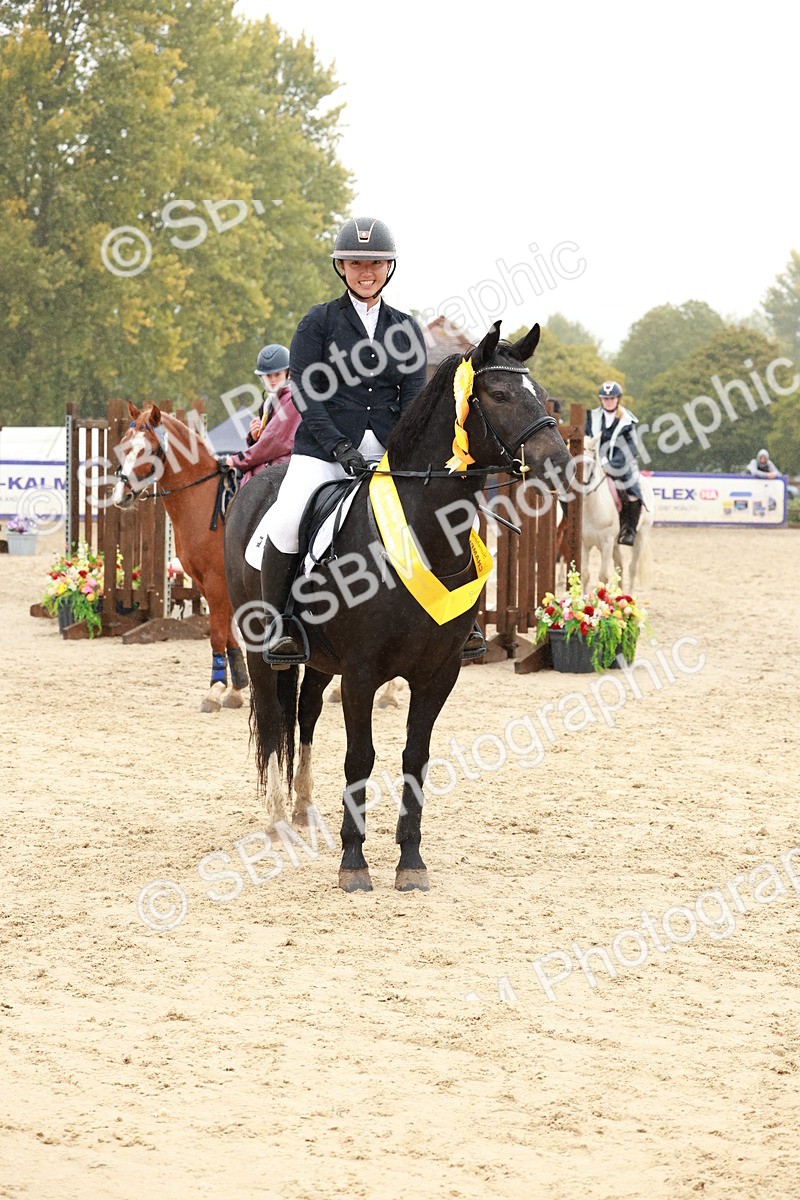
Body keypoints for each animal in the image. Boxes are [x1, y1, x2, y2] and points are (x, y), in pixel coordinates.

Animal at [112, 403, 249, 713]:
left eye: (147, 449)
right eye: (124, 445)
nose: (120, 495)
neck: (204, 499)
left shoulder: (216, 581)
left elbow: (217, 633)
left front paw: (215, 690)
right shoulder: (206, 583)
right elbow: (228, 632)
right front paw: (236, 688)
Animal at [224, 320, 572, 893]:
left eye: (542, 395)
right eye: (498, 395)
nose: (561, 467)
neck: (425, 535)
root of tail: (256, 485)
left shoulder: (438, 673)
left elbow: (416, 757)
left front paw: (410, 861)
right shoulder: (363, 673)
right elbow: (360, 757)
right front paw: (354, 863)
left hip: (321, 662)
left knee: (306, 713)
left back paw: (304, 809)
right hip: (259, 647)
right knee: (274, 717)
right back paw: (277, 819)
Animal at [581, 433, 654, 592]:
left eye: (589, 464)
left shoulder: (607, 544)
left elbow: (602, 577)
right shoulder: (585, 544)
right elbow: (585, 575)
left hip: (640, 537)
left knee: (632, 569)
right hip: (615, 544)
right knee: (619, 567)